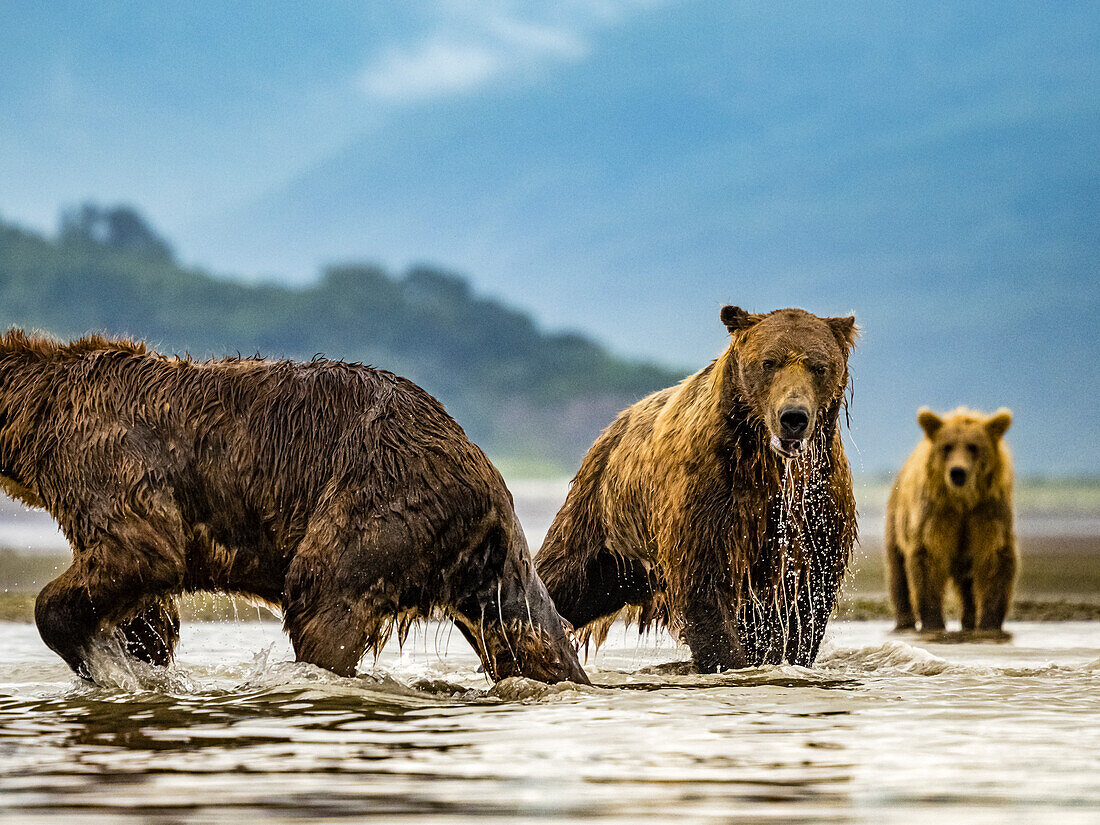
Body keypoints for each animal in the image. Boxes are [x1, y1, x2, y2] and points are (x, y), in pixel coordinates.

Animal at [0, 330, 589, 686]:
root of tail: (481, 466)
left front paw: (102, 661)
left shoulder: (111, 462)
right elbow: (144, 602)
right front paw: (141, 651)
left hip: (378, 504)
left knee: (322, 596)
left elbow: (143, 551)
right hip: (486, 567)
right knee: (530, 634)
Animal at [532, 308, 858, 673]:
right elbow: (703, 583)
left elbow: (806, 598)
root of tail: (616, 423)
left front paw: (780, 655)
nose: (793, 417)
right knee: (564, 577)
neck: (767, 464)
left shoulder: (815, 504)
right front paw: (730, 661)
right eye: (768, 362)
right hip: (602, 520)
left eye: (819, 366)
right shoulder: (709, 492)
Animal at [884, 404, 1012, 633]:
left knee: (968, 584)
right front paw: (933, 622)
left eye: (973, 447)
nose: (957, 472)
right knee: (898, 570)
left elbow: (994, 557)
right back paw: (905, 620)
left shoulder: (987, 510)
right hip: (896, 519)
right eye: (947, 446)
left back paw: (969, 621)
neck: (962, 501)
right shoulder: (937, 512)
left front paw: (989, 623)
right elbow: (928, 556)